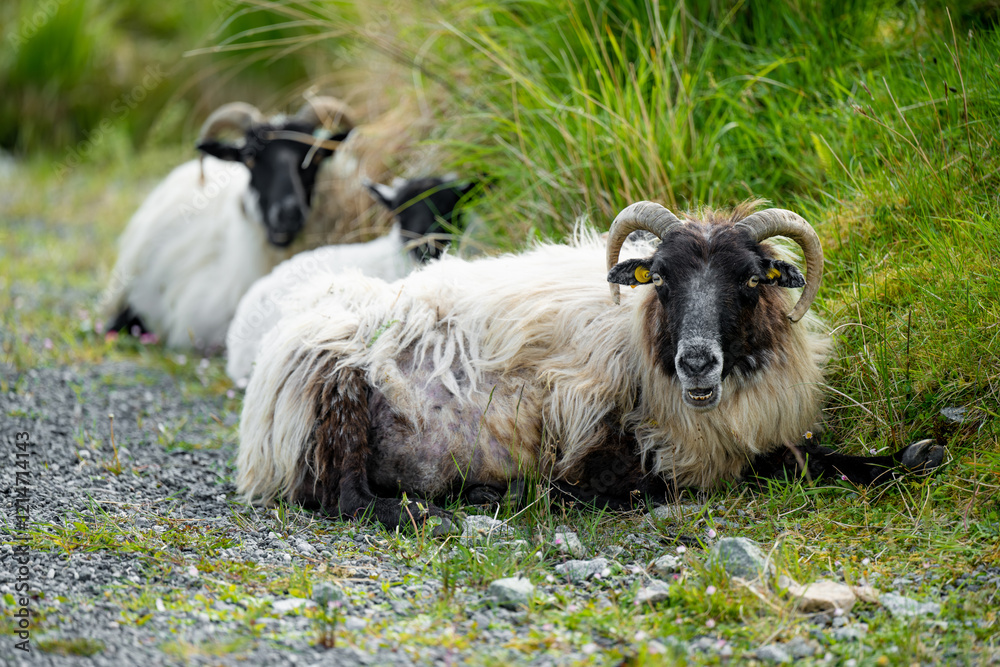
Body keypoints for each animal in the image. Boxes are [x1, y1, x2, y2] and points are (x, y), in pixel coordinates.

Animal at [236, 200, 945, 530]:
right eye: (661, 279)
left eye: (750, 280)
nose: (695, 362)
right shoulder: (604, 446)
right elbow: (663, 483)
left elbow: (808, 457)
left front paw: (913, 457)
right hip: (340, 393)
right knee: (346, 498)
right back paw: (440, 509)